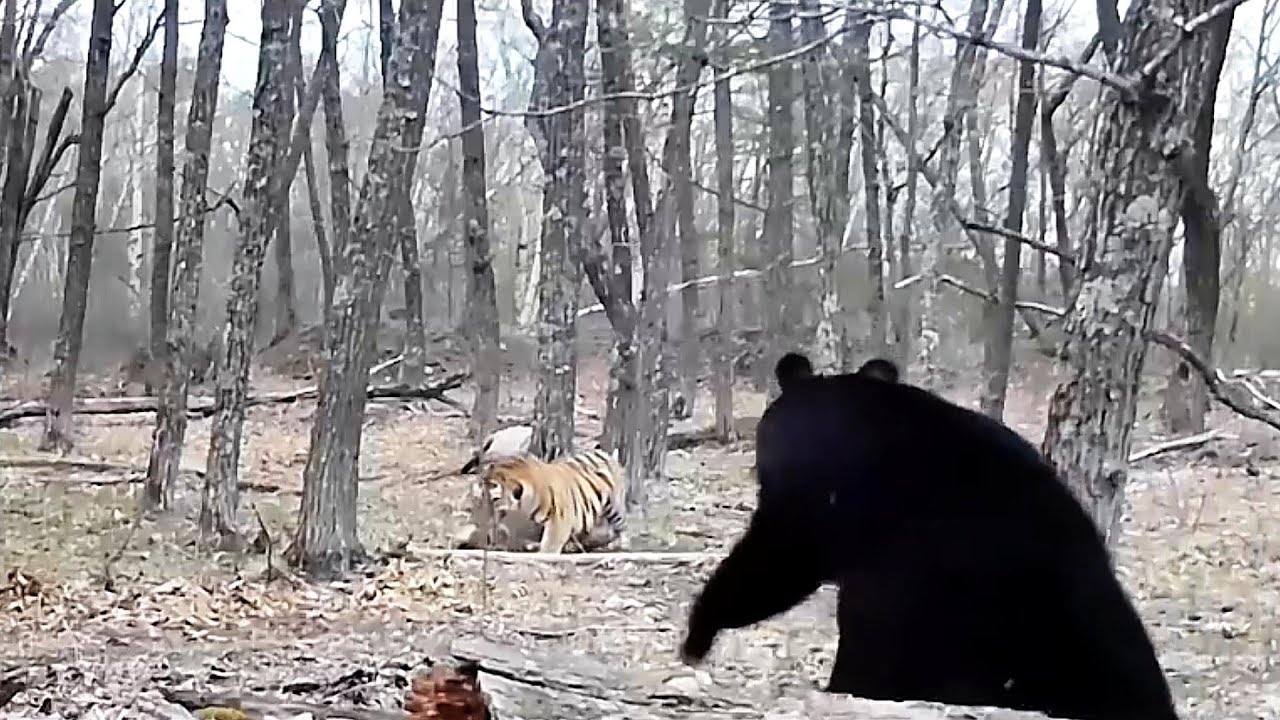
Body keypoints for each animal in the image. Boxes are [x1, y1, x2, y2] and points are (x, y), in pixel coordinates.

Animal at [479, 447, 629, 554]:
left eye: (494, 498)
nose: (484, 510)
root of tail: (607, 454)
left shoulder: (559, 522)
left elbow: (549, 546)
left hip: (614, 508)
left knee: (621, 526)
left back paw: (621, 545)